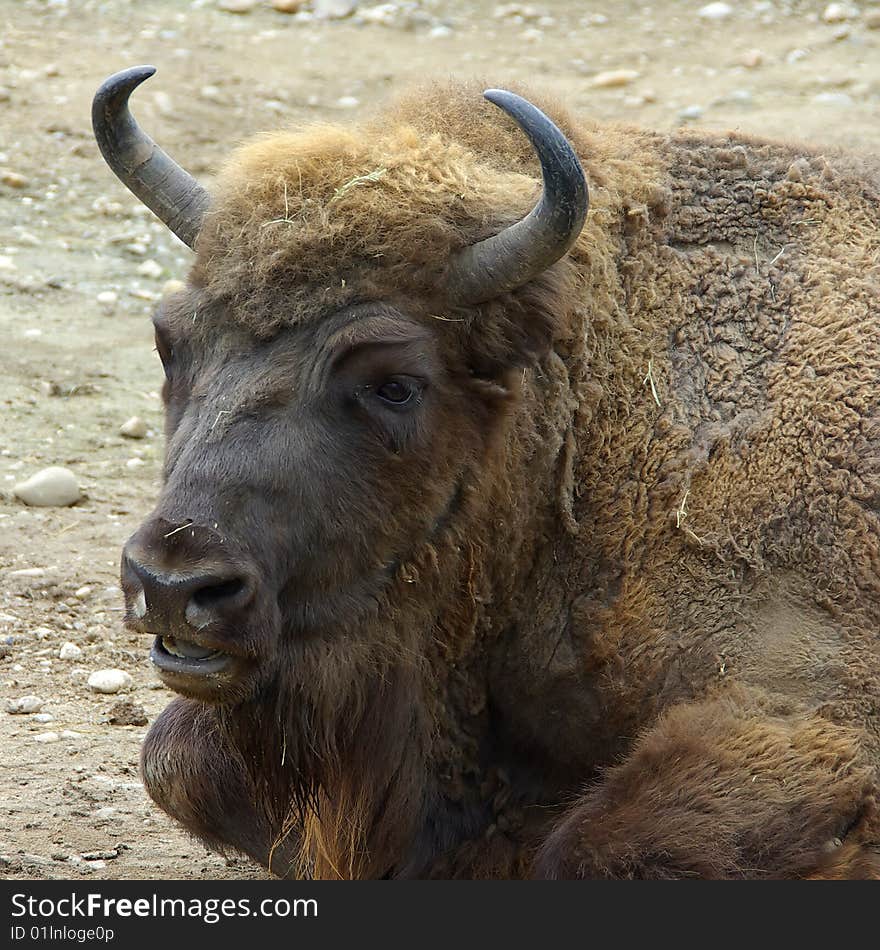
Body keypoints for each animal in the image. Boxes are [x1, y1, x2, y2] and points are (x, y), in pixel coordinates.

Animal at [91, 63, 880, 880]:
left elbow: (591, 849)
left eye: (395, 383)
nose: (173, 584)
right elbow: (176, 761)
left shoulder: (804, 705)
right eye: (170, 344)